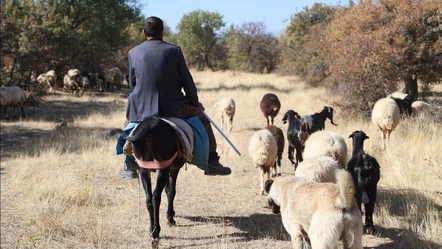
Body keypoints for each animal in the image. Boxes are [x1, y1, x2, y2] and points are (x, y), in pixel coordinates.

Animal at [112, 116, 186, 249]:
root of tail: (147, 129)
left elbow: (167, 190)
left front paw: (170, 215)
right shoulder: (173, 169)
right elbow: (171, 191)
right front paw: (170, 218)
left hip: (143, 168)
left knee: (148, 198)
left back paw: (152, 231)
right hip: (162, 167)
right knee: (156, 197)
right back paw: (156, 234)